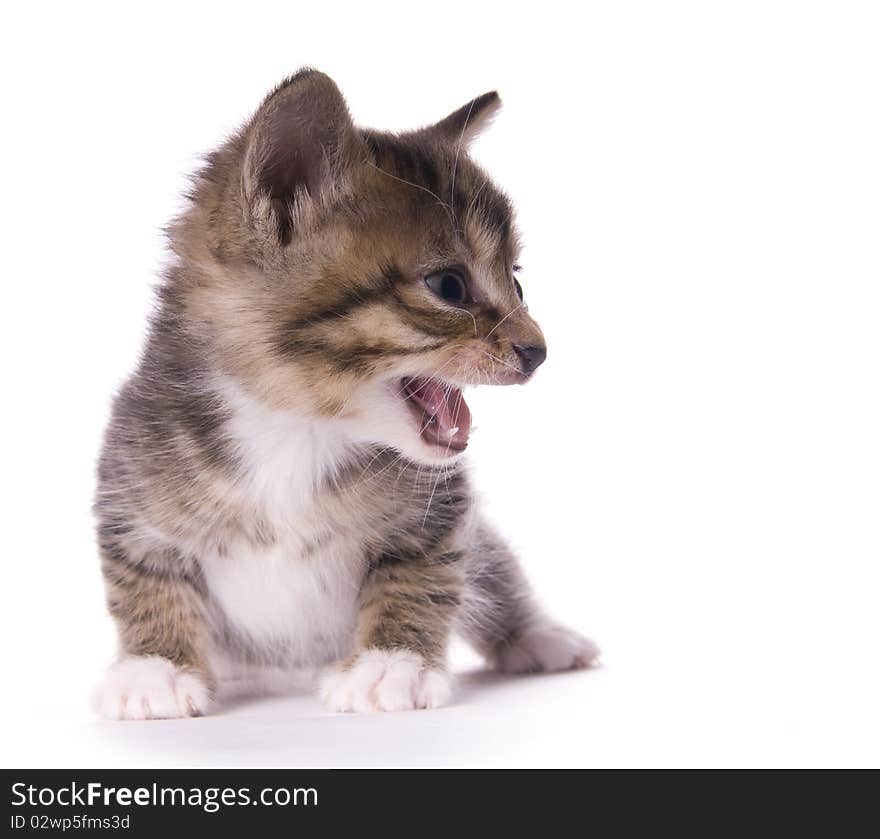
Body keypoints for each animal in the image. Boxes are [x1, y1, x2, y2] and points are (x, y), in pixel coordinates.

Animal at [94, 69, 600, 720]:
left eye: (516, 282)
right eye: (449, 286)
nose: (538, 350)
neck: (293, 429)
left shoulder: (442, 514)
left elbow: (423, 575)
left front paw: (391, 663)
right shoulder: (131, 492)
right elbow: (144, 576)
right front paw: (154, 668)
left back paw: (539, 637)